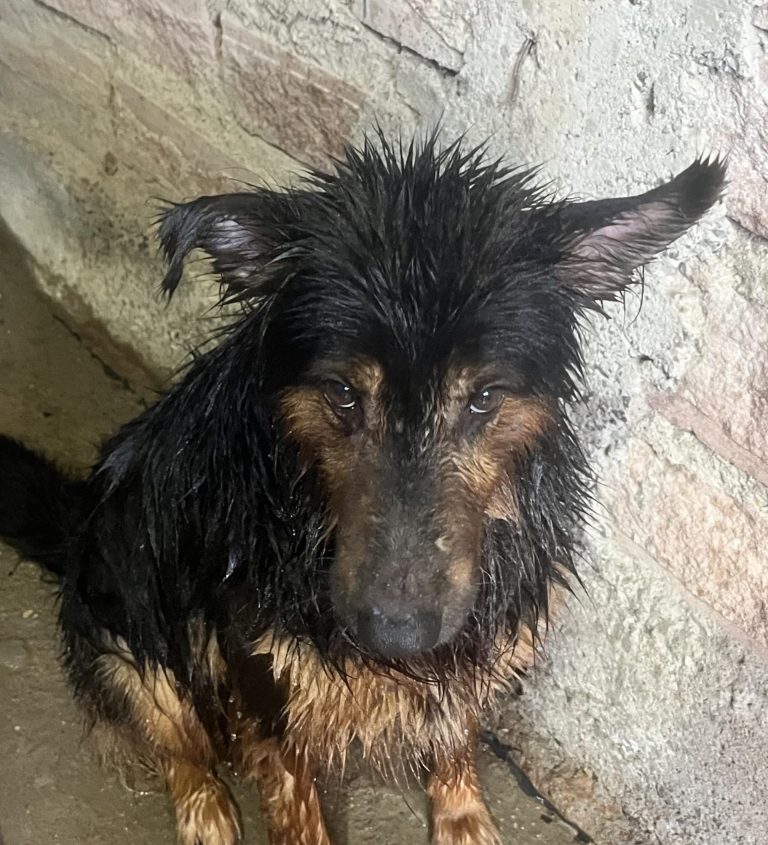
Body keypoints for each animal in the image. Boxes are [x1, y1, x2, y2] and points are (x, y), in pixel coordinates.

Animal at [0, 134, 724, 844]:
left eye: (485, 396)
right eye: (342, 392)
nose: (396, 633)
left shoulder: (481, 635)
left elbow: (457, 737)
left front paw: (463, 818)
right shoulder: (266, 682)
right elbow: (294, 802)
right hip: (129, 617)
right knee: (177, 739)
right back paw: (206, 809)